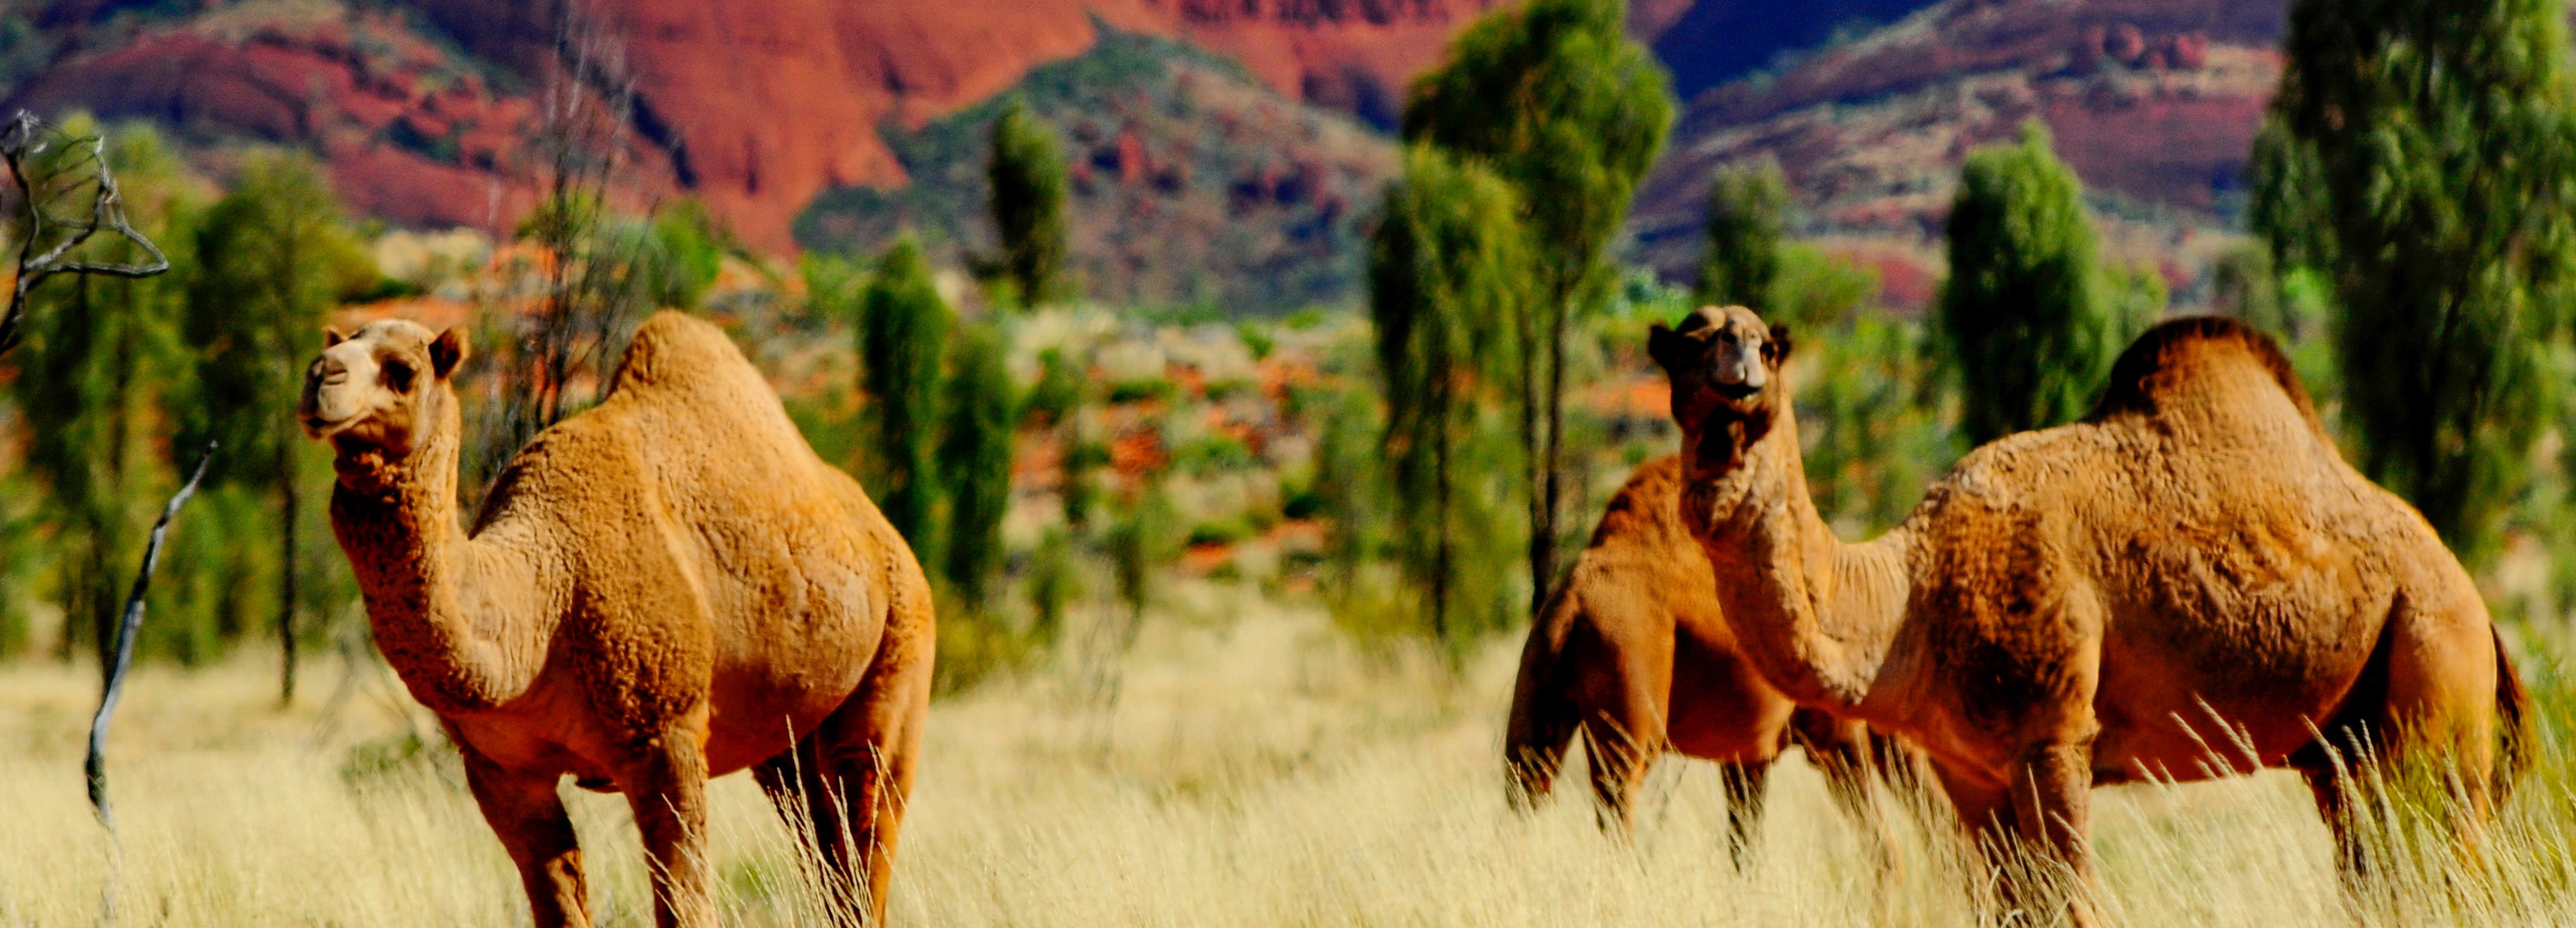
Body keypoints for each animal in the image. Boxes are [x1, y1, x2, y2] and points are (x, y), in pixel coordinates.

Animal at [301, 313, 943, 928]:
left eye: (403, 371)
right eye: (335, 344)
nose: (320, 376)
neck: (542, 600)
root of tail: (884, 534)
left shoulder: (665, 734)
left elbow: (686, 907)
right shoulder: (500, 768)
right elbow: (559, 907)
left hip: (900, 651)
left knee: (866, 827)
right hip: (785, 743)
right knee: (823, 850)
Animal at [1494, 454, 1916, 861]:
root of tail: (1571, 604)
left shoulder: (1748, 756)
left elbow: (1744, 852)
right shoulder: (1834, 734)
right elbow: (1881, 848)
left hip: (1535, 705)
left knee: (1525, 793)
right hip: (1631, 711)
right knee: (1617, 812)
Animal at [1659, 304, 2524, 923]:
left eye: (1765, 347)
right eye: (1687, 342)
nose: (1736, 373)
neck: (1909, 598)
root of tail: (2478, 603)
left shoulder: (2053, 735)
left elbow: (2075, 905)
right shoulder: (1968, 770)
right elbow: (2007, 909)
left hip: (2433, 668)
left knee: (2451, 860)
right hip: (2346, 746)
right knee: (2377, 870)